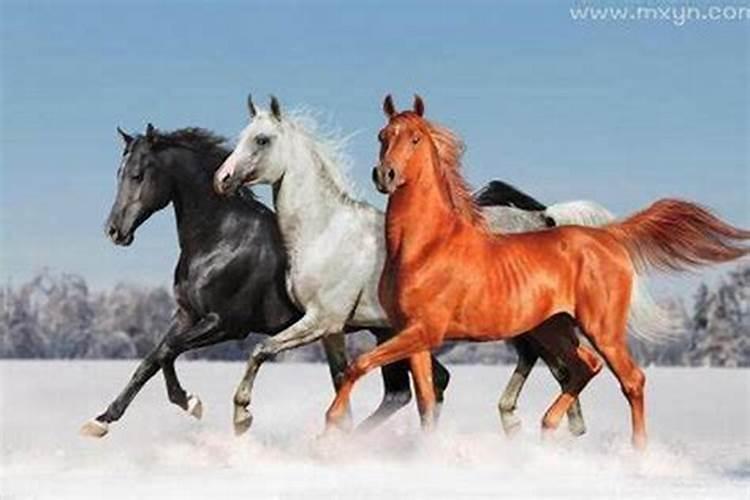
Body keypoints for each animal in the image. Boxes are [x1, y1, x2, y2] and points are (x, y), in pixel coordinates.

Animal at [80, 123, 453, 437]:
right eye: (119, 173)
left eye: (138, 175)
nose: (114, 231)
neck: (221, 237)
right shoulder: (186, 315)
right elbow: (152, 359)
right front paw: (101, 420)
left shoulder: (226, 324)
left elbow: (167, 351)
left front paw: (192, 403)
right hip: (382, 332)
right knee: (414, 388)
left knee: (418, 386)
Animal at [212, 95, 661, 437]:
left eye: (262, 139)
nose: (222, 179)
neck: (325, 230)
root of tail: (545, 218)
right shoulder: (333, 330)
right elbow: (340, 377)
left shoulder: (323, 320)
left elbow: (261, 351)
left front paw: (242, 416)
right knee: (562, 368)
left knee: (562, 367)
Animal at [324, 95, 750, 449]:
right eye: (383, 135)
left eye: (414, 138)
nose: (385, 175)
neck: (426, 246)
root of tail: (607, 236)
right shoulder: (411, 334)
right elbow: (426, 402)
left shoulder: (424, 330)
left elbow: (359, 366)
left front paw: (328, 427)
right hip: (554, 327)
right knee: (584, 367)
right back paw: (546, 428)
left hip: (601, 329)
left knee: (631, 380)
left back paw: (636, 454)